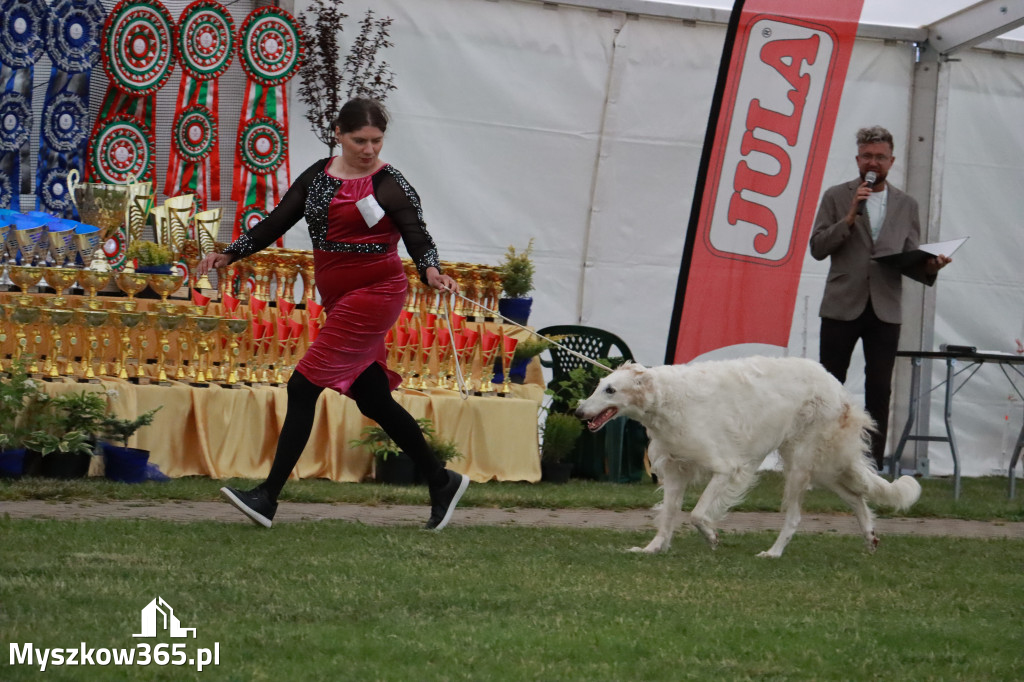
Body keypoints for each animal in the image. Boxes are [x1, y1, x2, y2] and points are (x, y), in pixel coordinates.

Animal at [577, 352, 921, 557]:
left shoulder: (727, 468)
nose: (579, 412)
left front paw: (712, 537)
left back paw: (773, 552)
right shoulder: (676, 470)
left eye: (610, 390)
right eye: (599, 385)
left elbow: (697, 514)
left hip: (801, 463)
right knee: (855, 496)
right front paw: (652, 548)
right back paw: (870, 536)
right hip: (821, 467)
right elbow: (668, 516)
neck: (666, 397)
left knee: (795, 517)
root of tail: (837, 386)